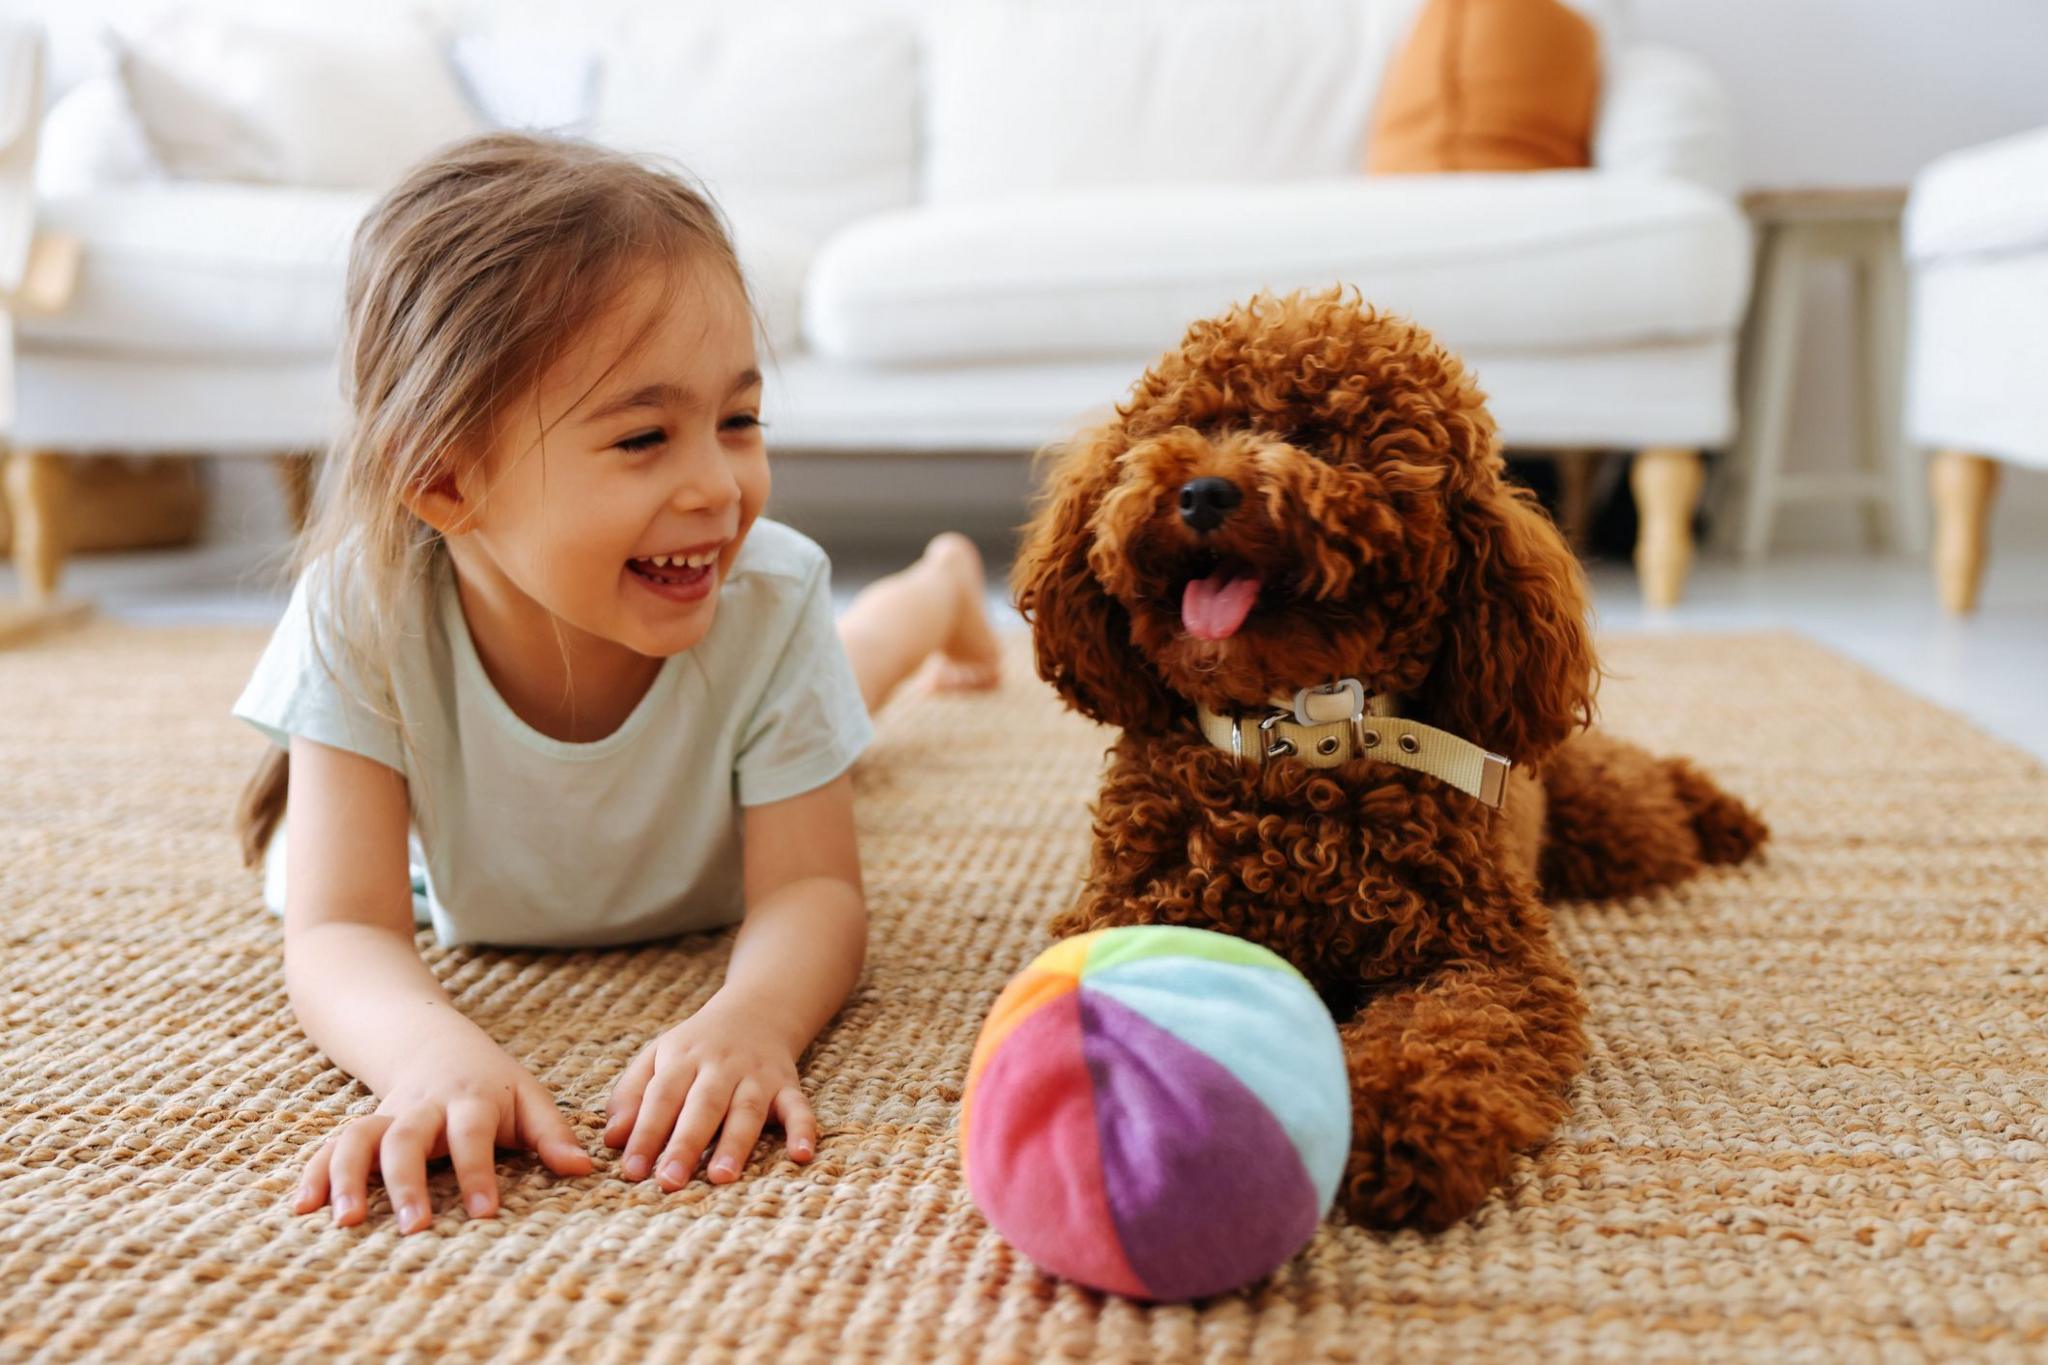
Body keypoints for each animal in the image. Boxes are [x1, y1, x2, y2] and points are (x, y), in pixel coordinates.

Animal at [1015, 294, 1769, 1236]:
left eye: (1322, 439)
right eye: (1189, 425)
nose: (1202, 491)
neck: (1292, 746)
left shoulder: (1487, 958)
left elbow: (1446, 1036)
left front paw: (1402, 1128)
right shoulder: (1126, 911)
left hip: (1610, 827)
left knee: (1646, 787)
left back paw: (1722, 813)